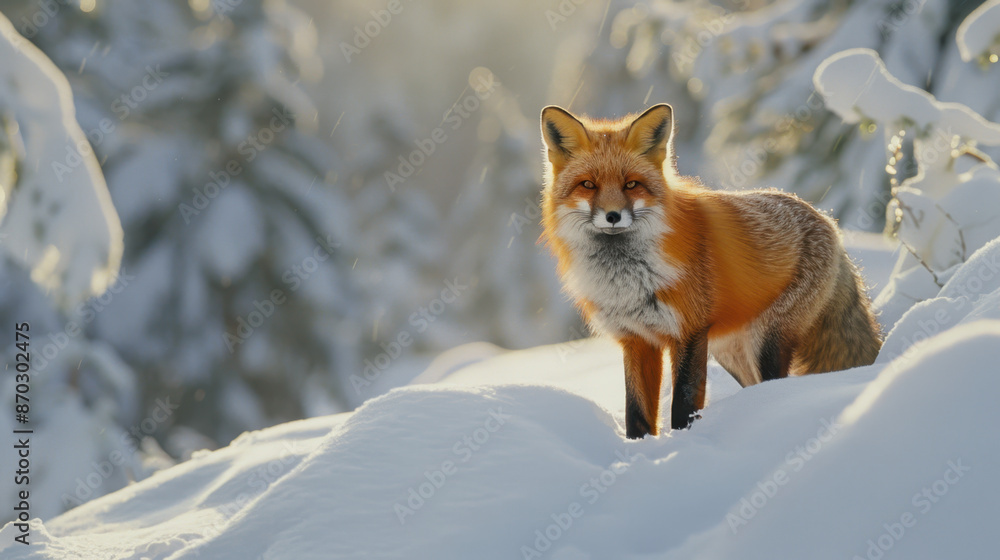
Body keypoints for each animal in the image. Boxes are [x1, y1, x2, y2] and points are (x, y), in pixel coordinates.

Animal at [539, 103, 882, 439]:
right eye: (588, 185)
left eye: (631, 184)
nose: (613, 216)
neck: (627, 281)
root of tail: (826, 219)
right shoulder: (636, 339)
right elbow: (636, 414)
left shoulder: (689, 331)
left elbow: (683, 403)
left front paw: (684, 446)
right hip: (730, 352)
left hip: (765, 342)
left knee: (774, 384)